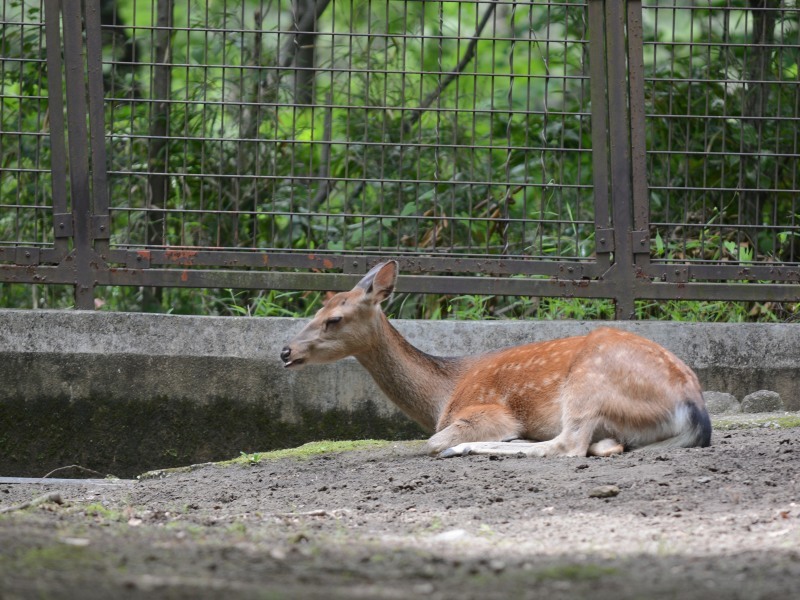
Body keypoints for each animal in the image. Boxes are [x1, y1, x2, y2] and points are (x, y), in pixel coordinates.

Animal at [282, 260, 712, 458]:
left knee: (569, 443)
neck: (443, 393)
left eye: (334, 319)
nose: (285, 351)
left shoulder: (485, 410)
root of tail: (692, 406)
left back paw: (470, 448)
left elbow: (432, 441)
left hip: (588, 382)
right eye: (318, 309)